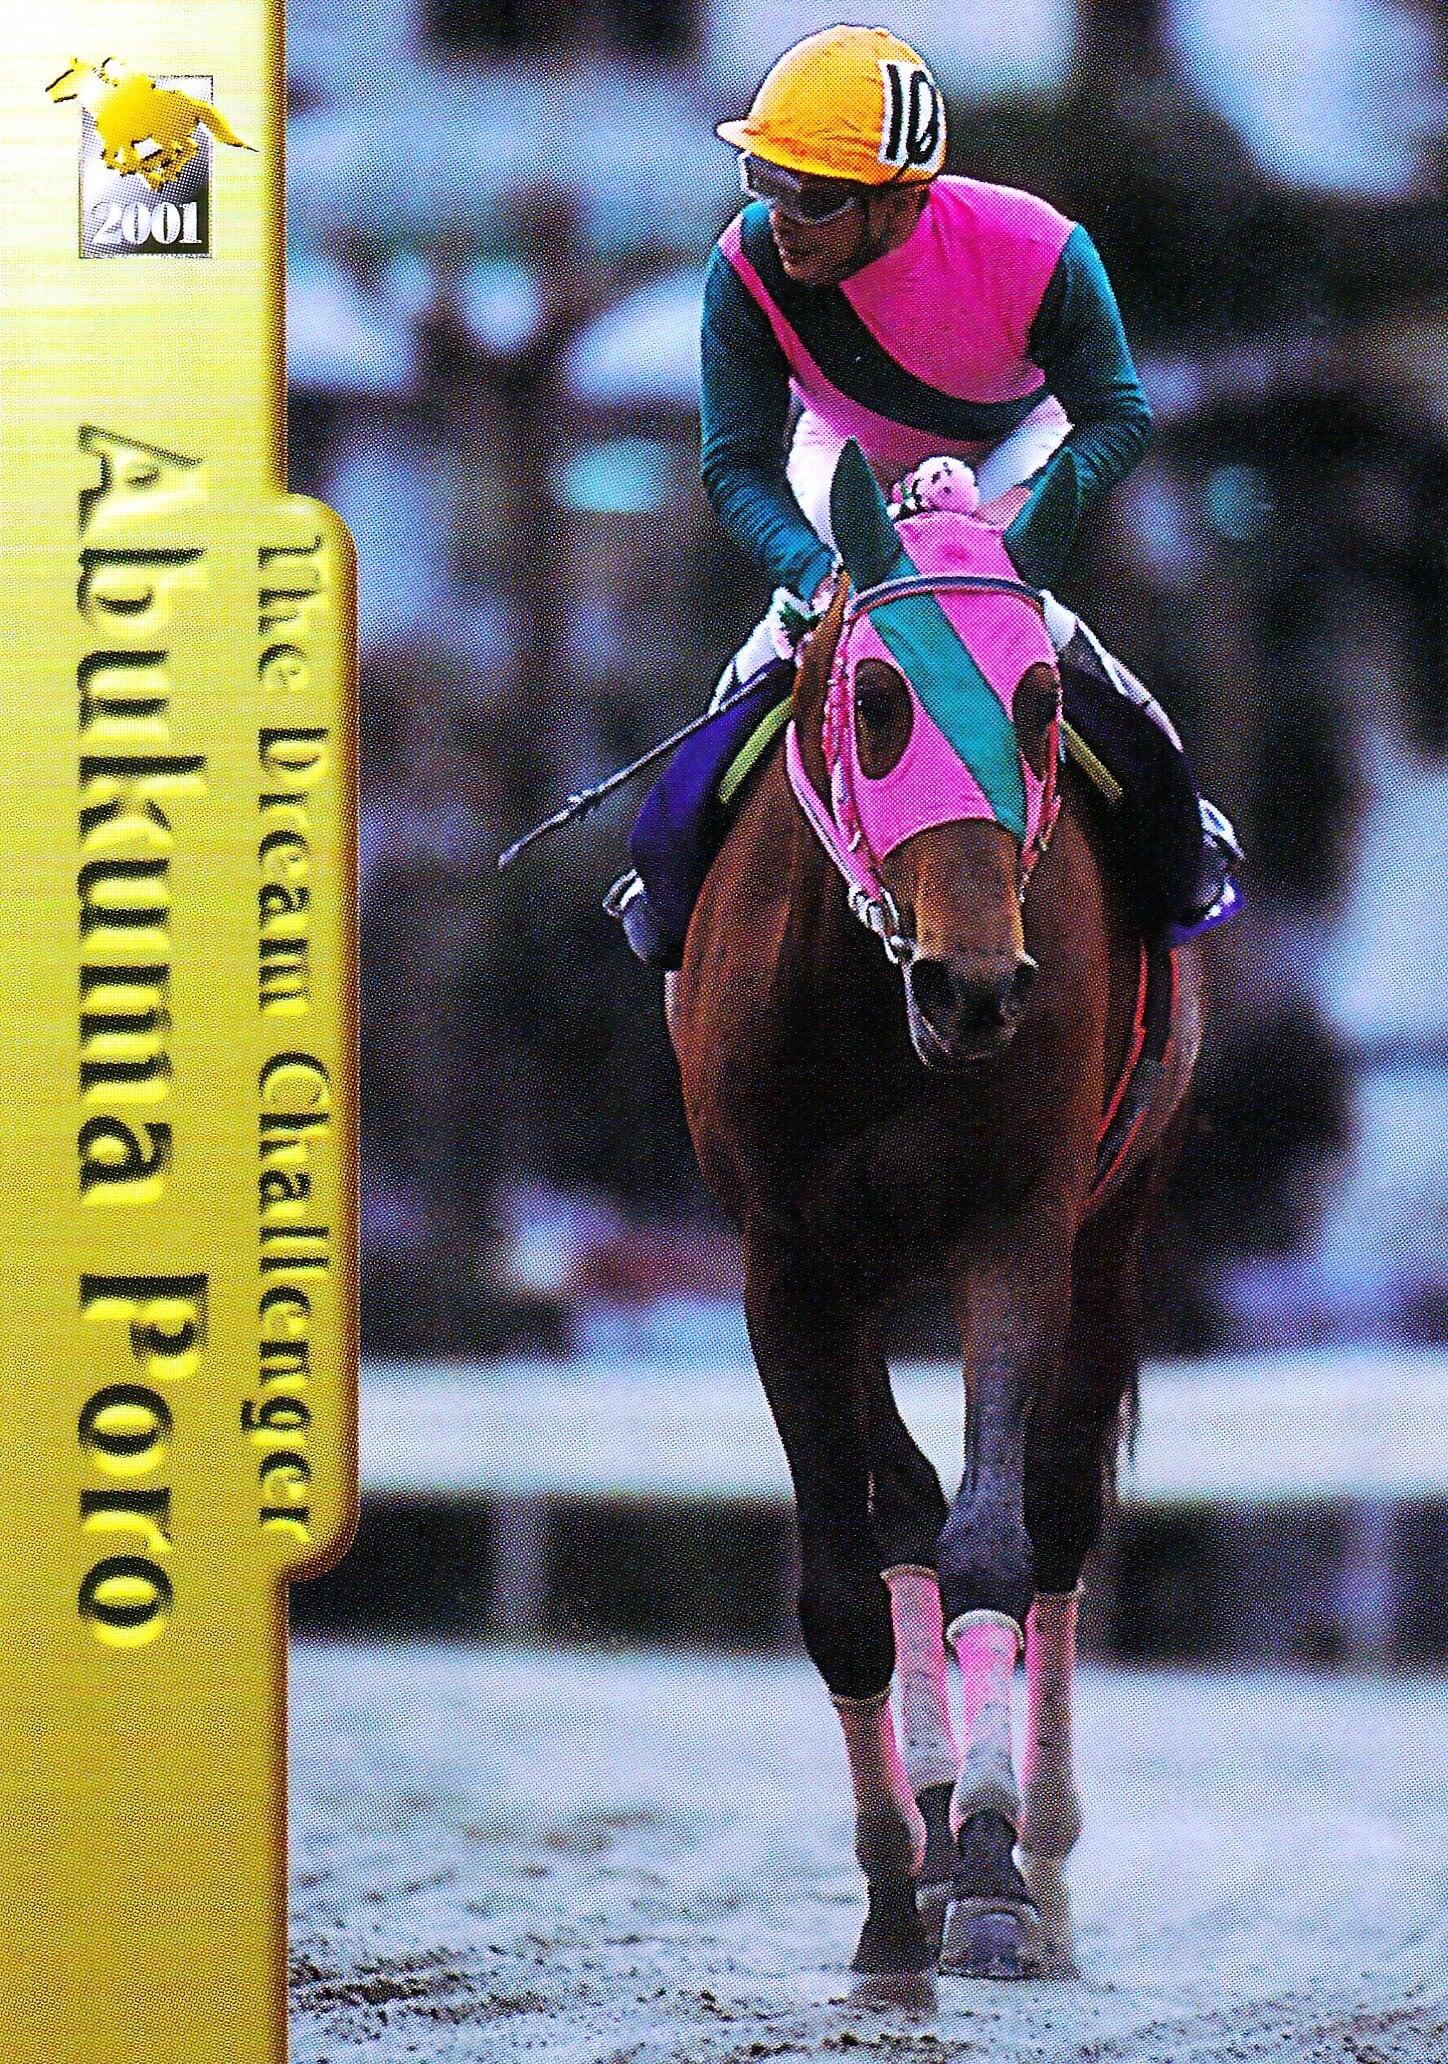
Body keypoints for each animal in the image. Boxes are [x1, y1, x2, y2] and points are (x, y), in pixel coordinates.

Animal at [667, 441, 1202, 1982]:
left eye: (1036, 705)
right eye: (881, 701)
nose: (975, 990)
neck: (875, 1015)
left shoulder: (1018, 1228)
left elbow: (997, 1543)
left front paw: (994, 1873)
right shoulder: (785, 1261)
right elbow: (852, 1577)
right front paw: (890, 1884)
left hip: (1117, 1214)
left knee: (1060, 1506)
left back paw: (1042, 1849)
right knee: (899, 1499)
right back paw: (921, 1814)